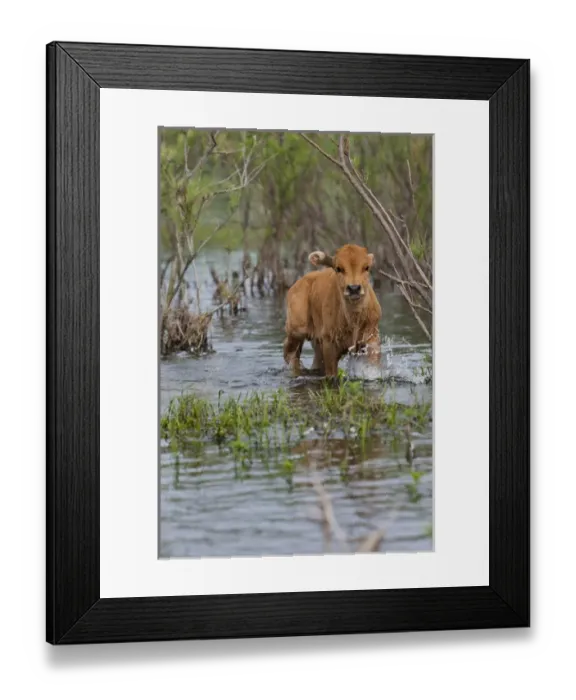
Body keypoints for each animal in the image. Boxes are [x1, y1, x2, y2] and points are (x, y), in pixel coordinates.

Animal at [283, 244, 382, 377]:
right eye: (338, 268)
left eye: (366, 267)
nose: (354, 288)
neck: (353, 321)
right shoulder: (329, 343)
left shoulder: (372, 337)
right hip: (297, 329)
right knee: (290, 352)